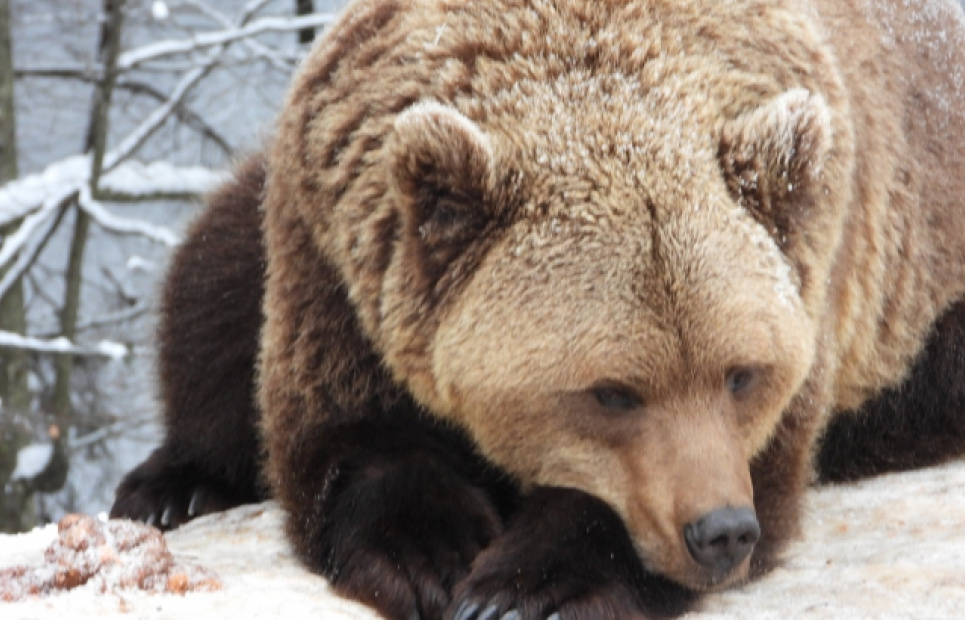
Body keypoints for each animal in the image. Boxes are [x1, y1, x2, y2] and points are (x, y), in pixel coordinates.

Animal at [109, 0, 964, 616]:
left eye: (741, 374)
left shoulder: (818, 276)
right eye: (611, 391)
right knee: (212, 287)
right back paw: (171, 486)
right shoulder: (339, 254)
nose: (719, 531)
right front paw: (432, 555)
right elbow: (351, 436)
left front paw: (526, 585)